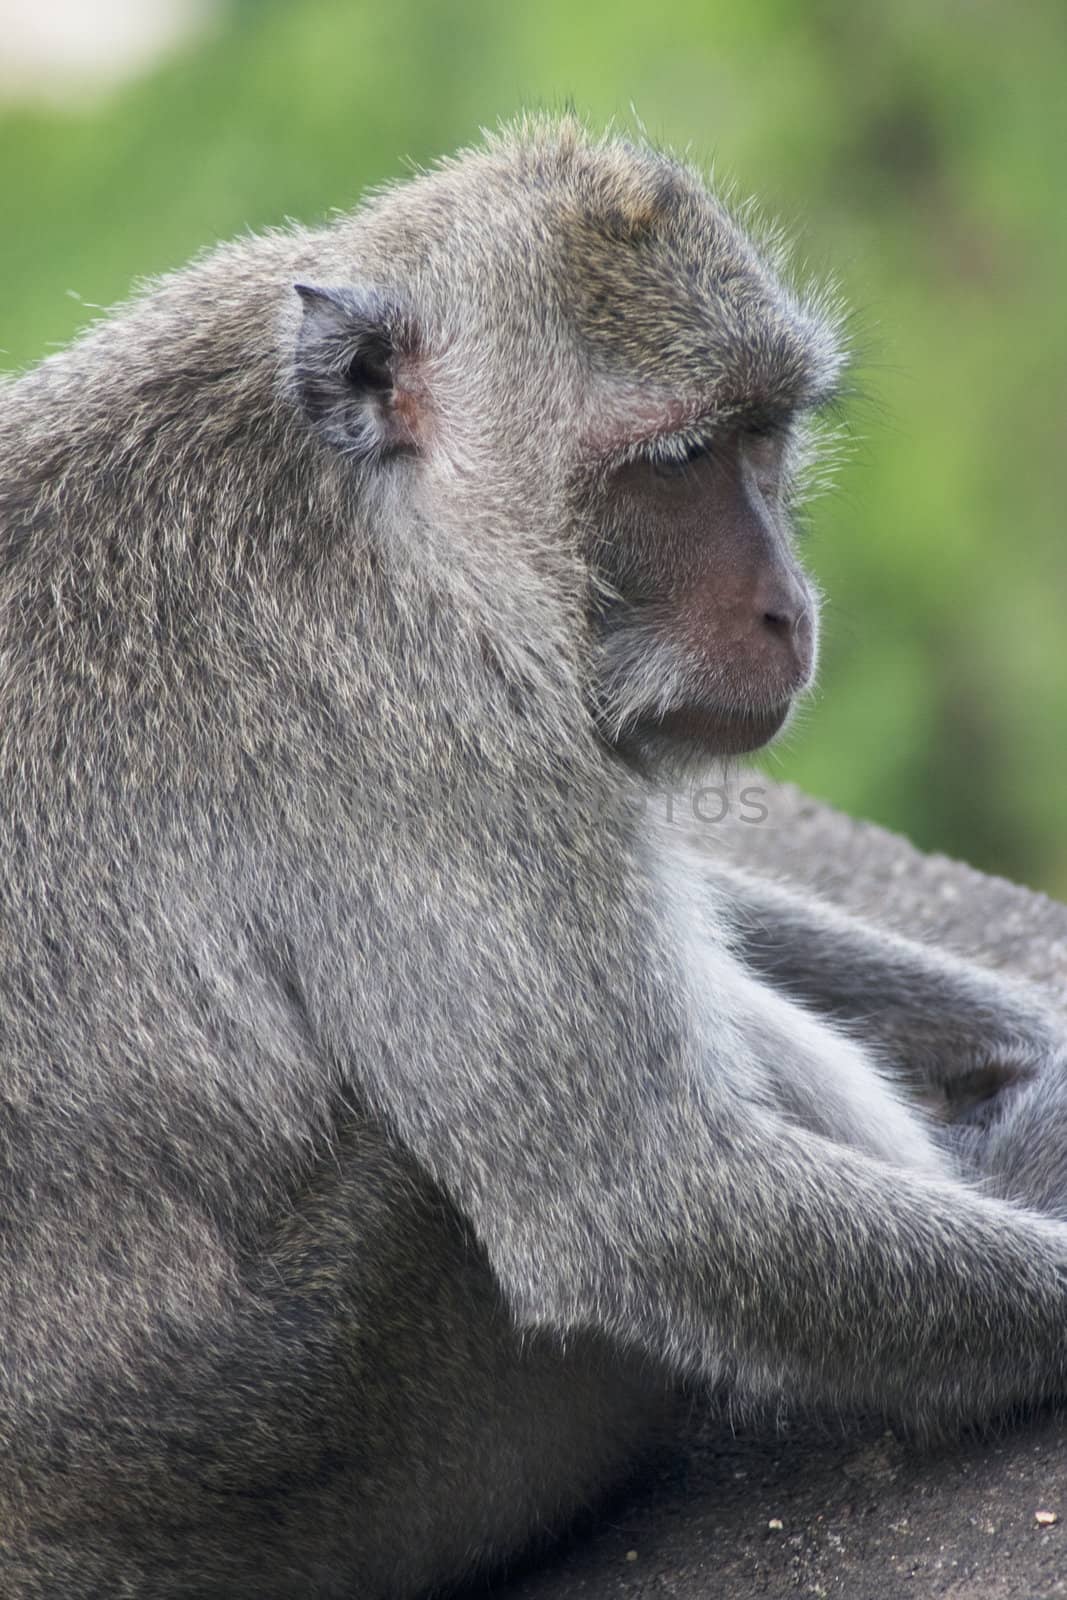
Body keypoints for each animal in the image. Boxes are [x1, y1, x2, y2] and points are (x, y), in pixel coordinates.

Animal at [2, 116, 1067, 1600]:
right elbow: (642, 1203)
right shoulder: (429, 727)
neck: (388, 507)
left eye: (760, 437)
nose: (786, 609)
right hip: (326, 1439)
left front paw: (1029, 1035)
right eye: (672, 462)